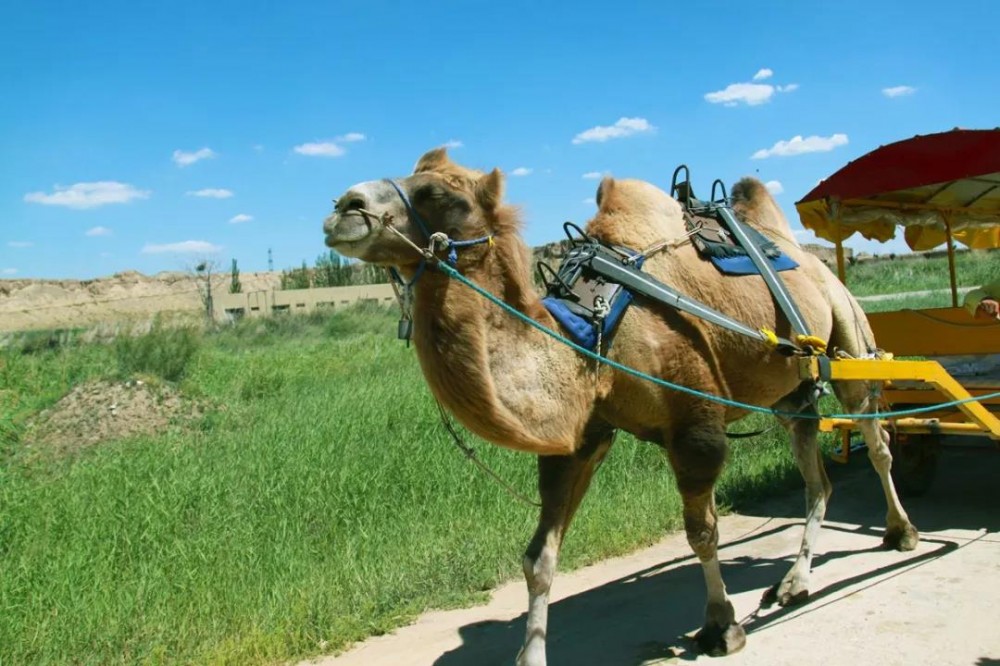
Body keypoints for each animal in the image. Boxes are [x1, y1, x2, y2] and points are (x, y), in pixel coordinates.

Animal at [324, 148, 916, 660]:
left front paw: (721, 626)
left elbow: (703, 531)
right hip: (794, 389)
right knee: (817, 474)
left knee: (877, 440)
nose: (343, 207)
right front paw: (530, 655)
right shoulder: (582, 437)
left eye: (436, 194)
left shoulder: (695, 425)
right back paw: (794, 582)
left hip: (847, 337)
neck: (593, 335)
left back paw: (900, 532)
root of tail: (803, 256)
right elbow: (538, 557)